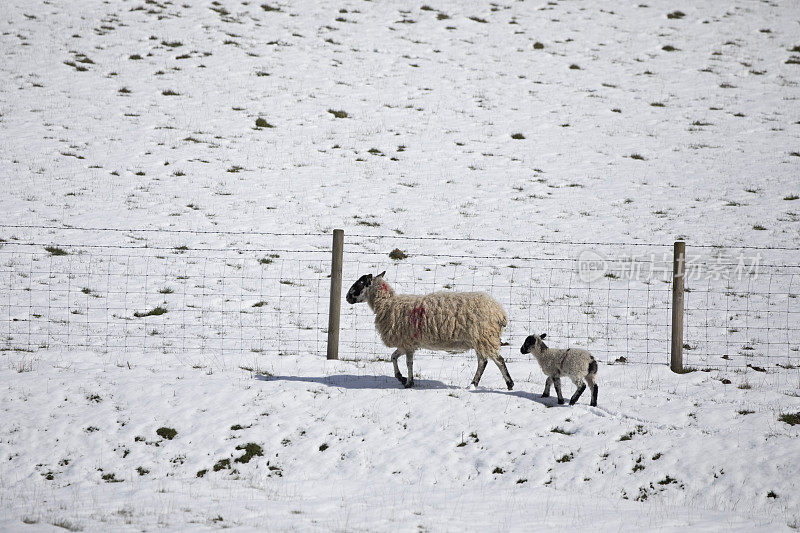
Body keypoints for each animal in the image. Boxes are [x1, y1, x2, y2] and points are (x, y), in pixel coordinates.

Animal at [344, 272, 512, 388]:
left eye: (360, 283)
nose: (347, 298)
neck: (387, 304)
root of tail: (500, 312)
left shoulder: (407, 342)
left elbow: (408, 363)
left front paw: (408, 382)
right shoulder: (406, 343)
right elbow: (393, 357)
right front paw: (401, 378)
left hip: (484, 337)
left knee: (497, 360)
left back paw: (507, 384)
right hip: (480, 339)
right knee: (483, 361)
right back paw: (475, 384)